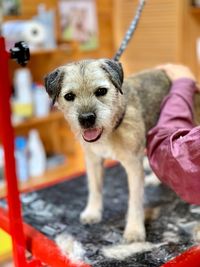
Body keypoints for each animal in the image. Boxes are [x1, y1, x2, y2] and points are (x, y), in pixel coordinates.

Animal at [44, 59, 171, 244]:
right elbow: (94, 188)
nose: (86, 119)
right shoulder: (93, 161)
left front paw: (134, 229)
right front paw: (92, 212)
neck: (110, 130)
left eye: (101, 91)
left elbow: (135, 200)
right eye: (69, 96)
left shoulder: (134, 167)